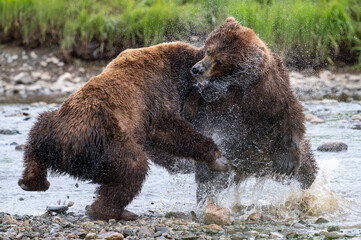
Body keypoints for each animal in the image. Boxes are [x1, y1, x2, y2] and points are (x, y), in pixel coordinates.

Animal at [16, 41, 232, 219]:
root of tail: (66, 149)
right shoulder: (156, 95)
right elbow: (170, 131)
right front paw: (218, 158)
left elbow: (161, 145)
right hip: (103, 139)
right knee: (133, 166)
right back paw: (114, 211)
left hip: (51, 128)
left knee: (35, 138)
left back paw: (31, 182)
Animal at [150, 17, 316, 202]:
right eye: (208, 50)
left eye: (219, 61)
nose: (196, 69)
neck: (234, 85)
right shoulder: (208, 101)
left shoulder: (269, 91)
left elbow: (289, 113)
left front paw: (286, 164)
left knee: (307, 167)